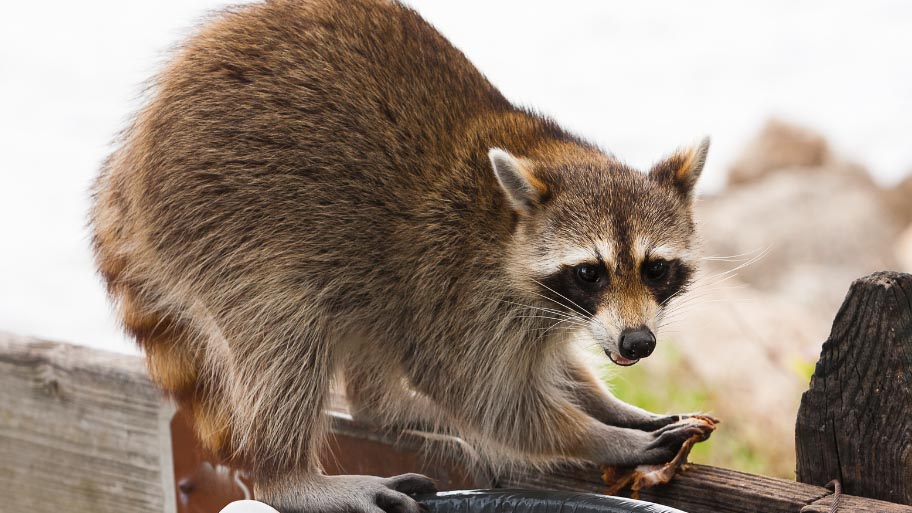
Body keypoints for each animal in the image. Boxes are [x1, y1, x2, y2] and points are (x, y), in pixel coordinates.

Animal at [92, 0, 716, 510]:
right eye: (590, 272)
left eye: (656, 269)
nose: (638, 343)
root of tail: (131, 157)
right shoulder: (458, 279)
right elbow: (489, 398)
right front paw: (605, 437)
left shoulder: (527, 306)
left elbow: (553, 368)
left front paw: (612, 408)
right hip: (225, 222)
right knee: (285, 331)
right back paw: (287, 474)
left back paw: (388, 408)